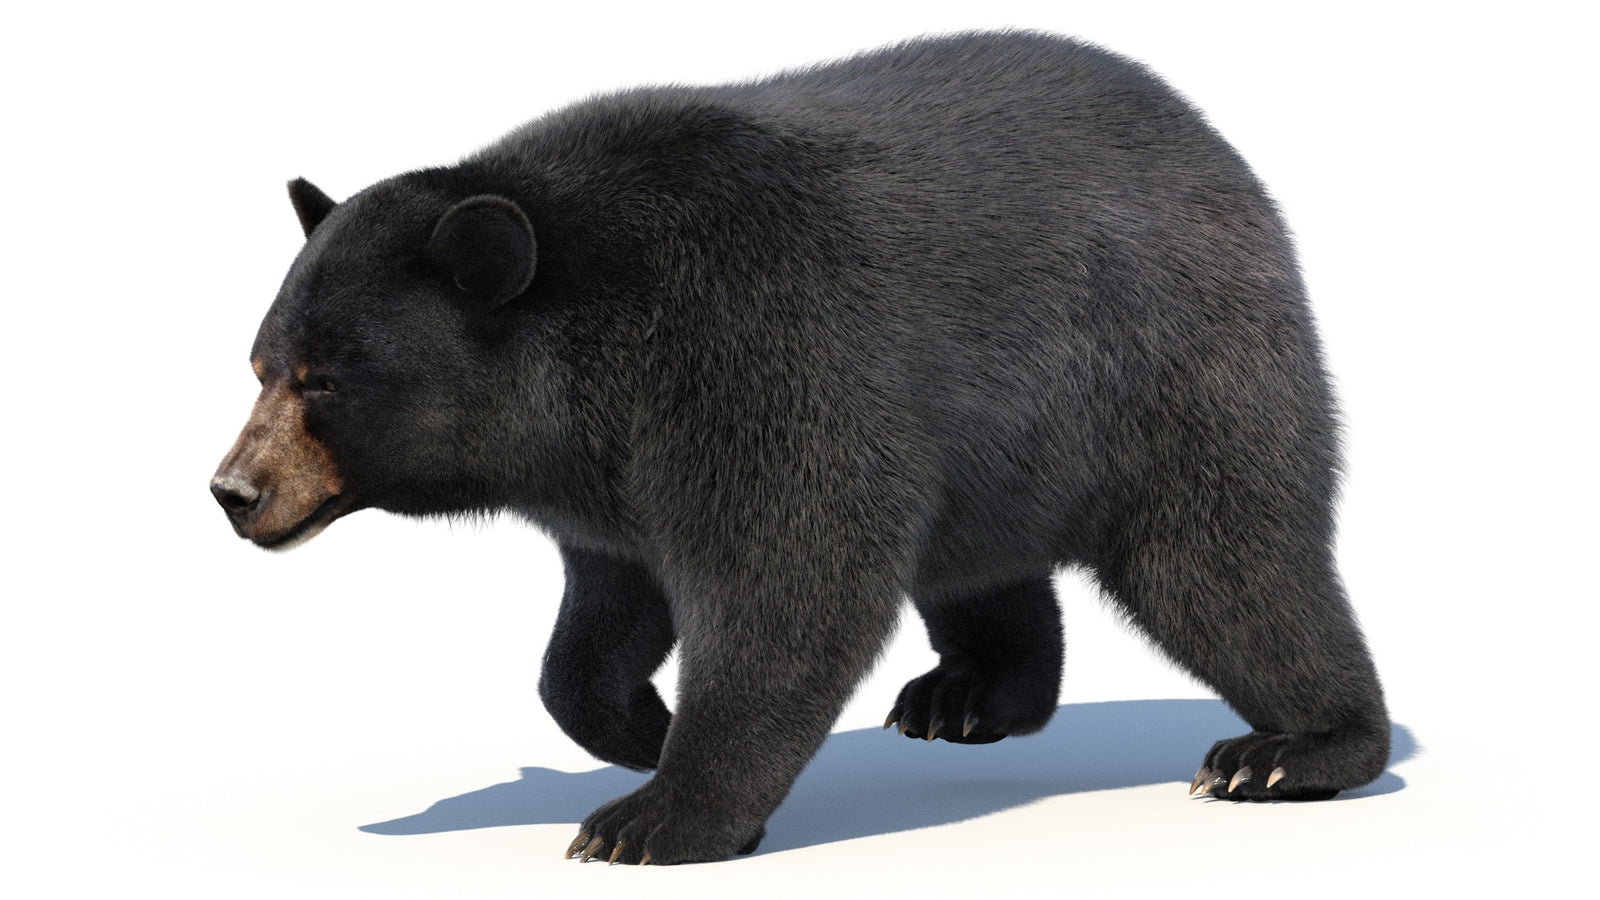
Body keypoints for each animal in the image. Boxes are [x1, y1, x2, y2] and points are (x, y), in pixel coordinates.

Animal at [211, 31, 1390, 865]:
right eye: (259, 361)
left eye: (325, 379)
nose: (234, 491)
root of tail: (1221, 153)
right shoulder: (611, 475)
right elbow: (601, 617)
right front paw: (640, 726)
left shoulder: (756, 357)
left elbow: (789, 582)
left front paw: (654, 816)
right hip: (1002, 446)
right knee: (984, 559)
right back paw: (970, 694)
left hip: (1170, 367)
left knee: (1228, 561)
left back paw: (1291, 750)